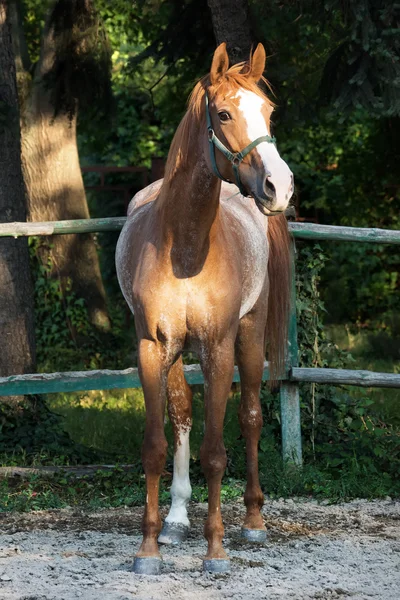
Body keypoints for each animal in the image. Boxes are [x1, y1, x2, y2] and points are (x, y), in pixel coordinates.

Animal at [115, 39, 294, 576]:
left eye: (269, 112)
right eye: (224, 113)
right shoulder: (152, 347)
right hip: (177, 353)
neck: (187, 246)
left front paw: (216, 550)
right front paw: (148, 547)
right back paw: (175, 521)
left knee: (251, 417)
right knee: (183, 416)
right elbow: (156, 445)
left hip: (250, 341)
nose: (280, 185)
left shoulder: (218, 347)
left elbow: (217, 452)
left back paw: (253, 522)